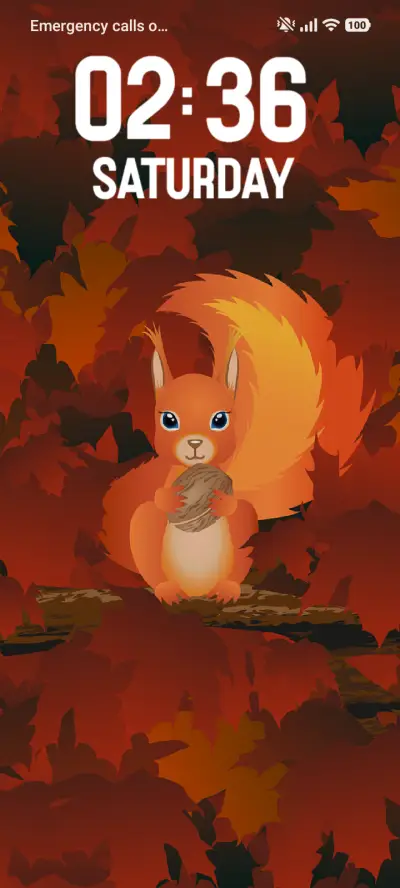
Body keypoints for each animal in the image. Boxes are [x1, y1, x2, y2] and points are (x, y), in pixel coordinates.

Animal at [101, 271, 373, 604]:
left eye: (220, 419)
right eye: (168, 420)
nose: (195, 443)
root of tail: (196, 591)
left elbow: (241, 508)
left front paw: (221, 503)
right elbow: (157, 496)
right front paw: (169, 497)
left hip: (240, 550)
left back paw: (227, 589)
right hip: (146, 533)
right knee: (148, 530)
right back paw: (167, 590)